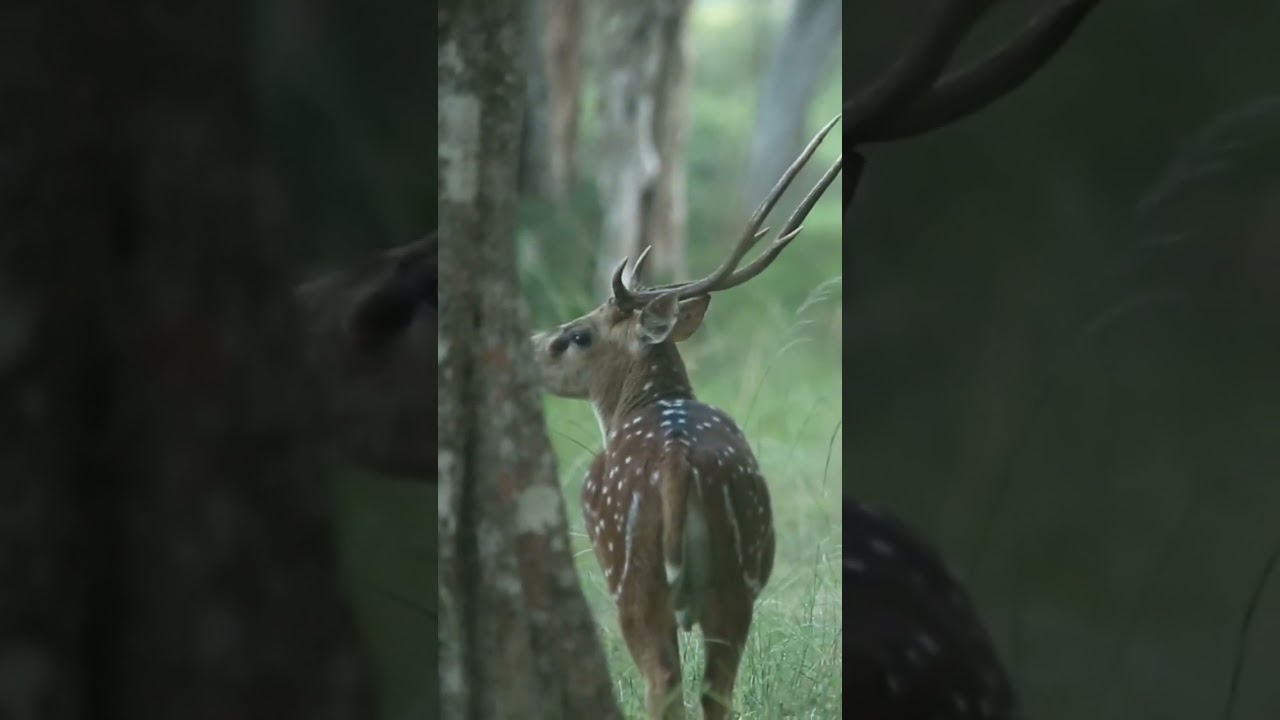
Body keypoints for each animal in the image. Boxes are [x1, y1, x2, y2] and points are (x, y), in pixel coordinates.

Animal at [528, 117, 842, 718]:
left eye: (578, 335)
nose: (530, 347)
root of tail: (675, 464)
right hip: (738, 575)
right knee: (716, 689)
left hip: (632, 578)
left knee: (663, 682)